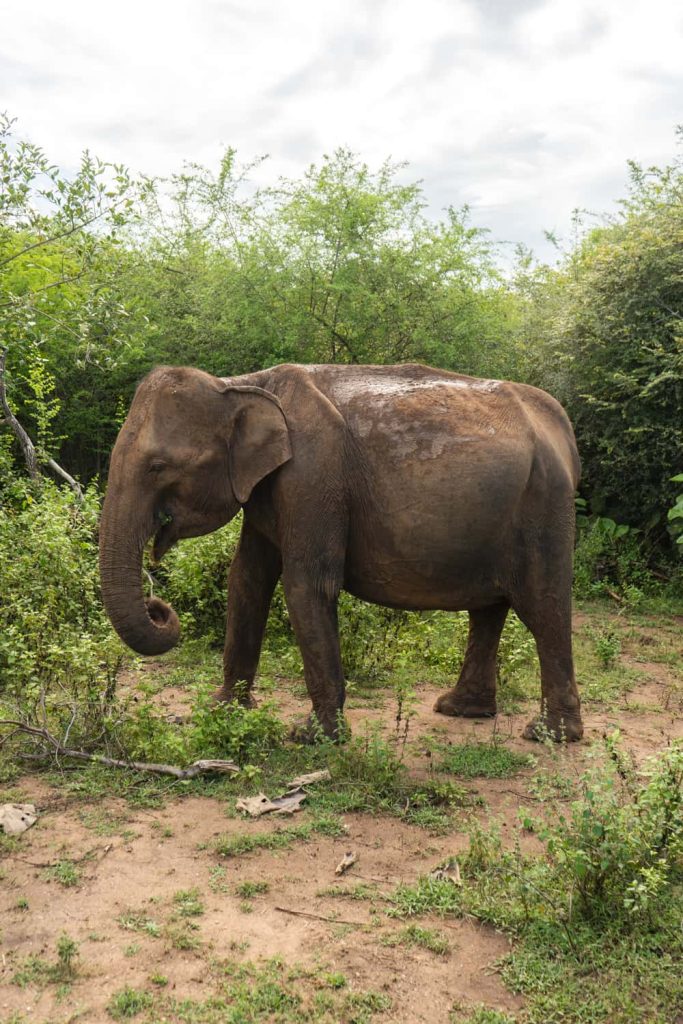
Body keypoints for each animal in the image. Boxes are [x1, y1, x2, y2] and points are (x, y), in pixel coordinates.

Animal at [99, 361, 583, 743]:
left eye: (158, 466)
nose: (158, 605)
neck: (242, 384)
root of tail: (562, 427)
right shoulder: (269, 490)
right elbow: (247, 581)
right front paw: (223, 710)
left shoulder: (312, 475)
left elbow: (305, 586)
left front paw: (313, 737)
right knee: (489, 609)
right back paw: (460, 708)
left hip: (544, 505)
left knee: (544, 607)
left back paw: (550, 734)